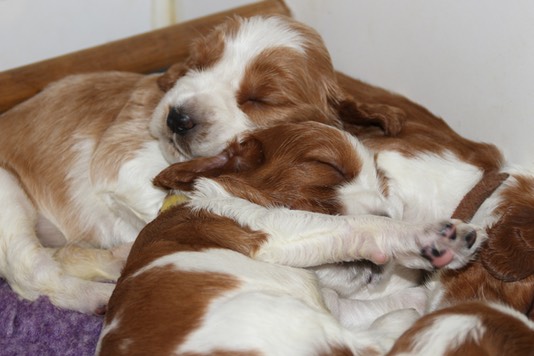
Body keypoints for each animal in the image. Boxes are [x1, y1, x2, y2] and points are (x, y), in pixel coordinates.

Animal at [0, 15, 402, 312]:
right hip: (8, 192)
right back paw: (98, 294)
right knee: (30, 273)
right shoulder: (122, 162)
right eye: (198, 65)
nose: (177, 119)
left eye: (261, 99)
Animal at [97, 122, 482, 356]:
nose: (388, 211)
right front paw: (430, 236)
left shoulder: (337, 306)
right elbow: (358, 225)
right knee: (378, 339)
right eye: (330, 167)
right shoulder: (274, 231)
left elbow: (386, 300)